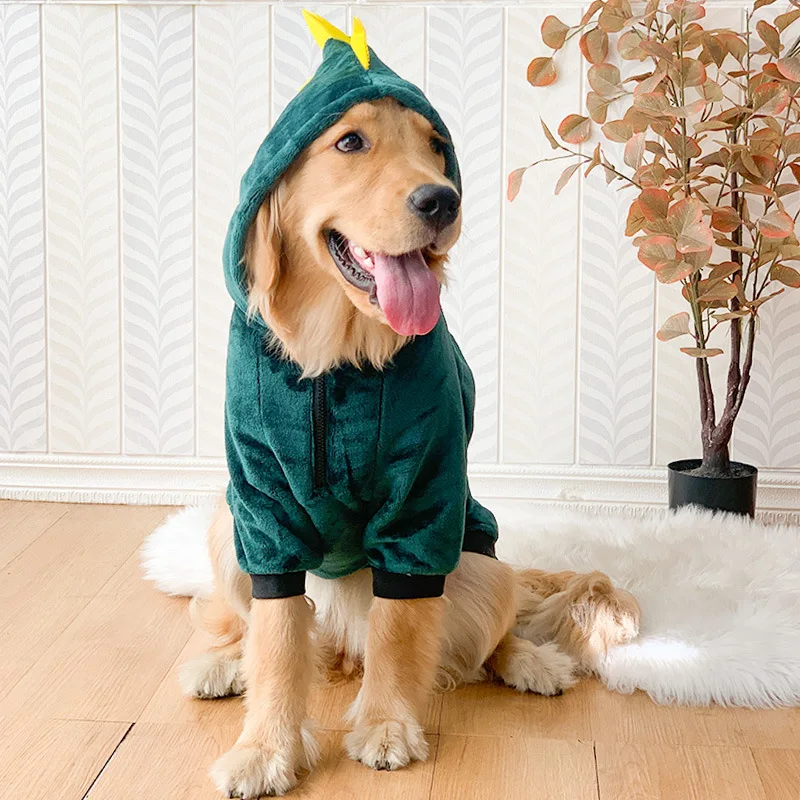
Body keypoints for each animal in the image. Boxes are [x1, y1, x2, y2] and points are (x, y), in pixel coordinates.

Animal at [181, 98, 636, 792]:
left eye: (435, 146)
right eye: (349, 142)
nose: (442, 200)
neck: (336, 355)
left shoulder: (422, 500)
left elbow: (397, 632)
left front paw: (387, 726)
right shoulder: (263, 509)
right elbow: (277, 639)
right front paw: (264, 750)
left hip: (484, 567)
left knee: (485, 636)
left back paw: (532, 662)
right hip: (223, 526)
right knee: (258, 626)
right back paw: (224, 662)